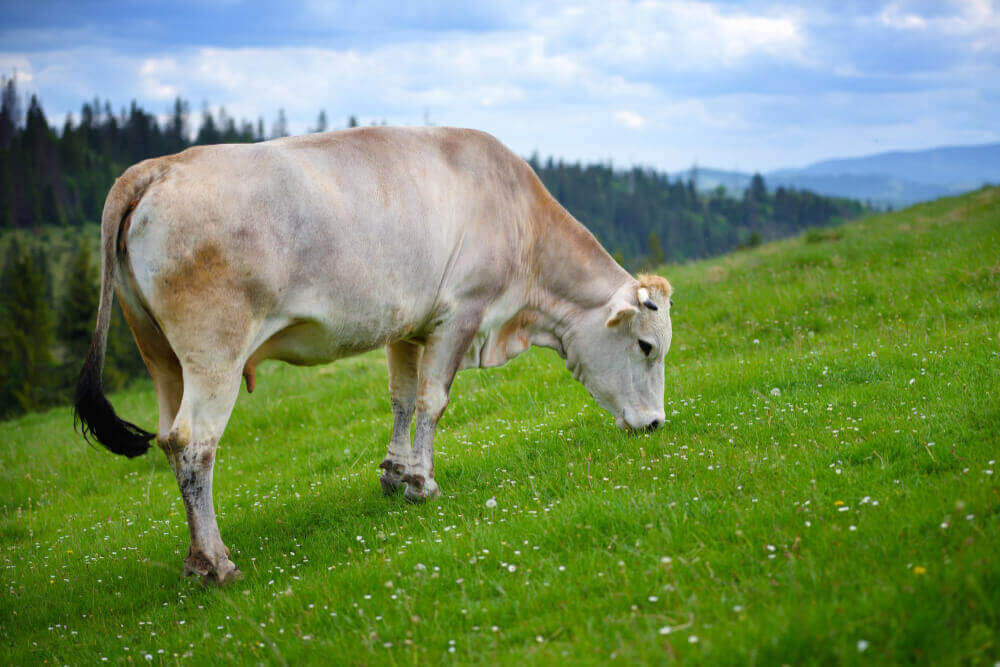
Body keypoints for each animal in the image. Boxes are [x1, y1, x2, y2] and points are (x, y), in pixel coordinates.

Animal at [74, 126, 676, 584]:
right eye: (646, 346)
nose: (654, 424)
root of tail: (158, 167)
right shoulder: (461, 313)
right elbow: (433, 401)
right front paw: (423, 483)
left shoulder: (408, 326)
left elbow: (402, 400)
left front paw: (394, 472)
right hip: (213, 352)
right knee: (193, 444)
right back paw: (217, 562)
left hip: (161, 357)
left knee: (169, 439)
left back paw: (195, 561)